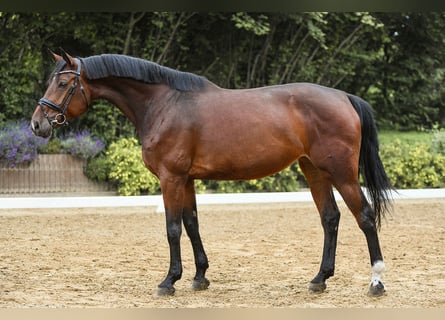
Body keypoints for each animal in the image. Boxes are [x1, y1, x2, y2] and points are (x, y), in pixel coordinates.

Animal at [31, 50, 392, 298]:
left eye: (63, 83)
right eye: (50, 81)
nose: (37, 124)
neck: (165, 104)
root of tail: (344, 97)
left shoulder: (171, 178)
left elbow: (173, 228)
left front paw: (169, 281)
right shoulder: (187, 179)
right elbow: (192, 224)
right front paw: (199, 276)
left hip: (342, 173)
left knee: (365, 216)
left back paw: (376, 280)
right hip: (314, 170)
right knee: (330, 218)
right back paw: (320, 279)